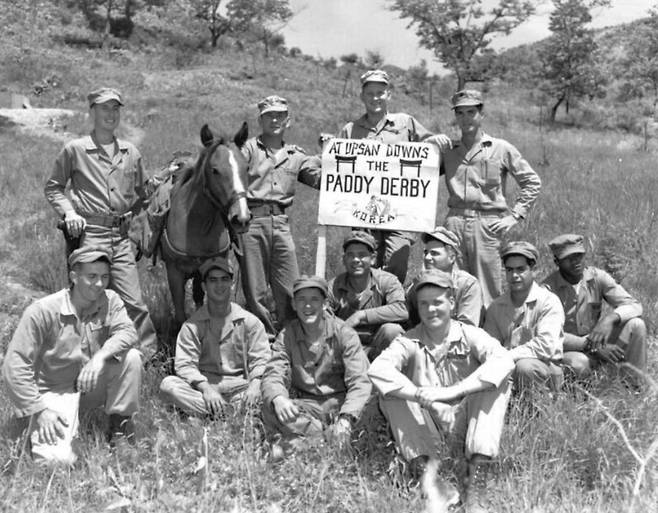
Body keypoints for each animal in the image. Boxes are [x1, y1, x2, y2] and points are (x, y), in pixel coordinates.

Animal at [160, 122, 250, 334]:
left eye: (247, 167)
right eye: (214, 170)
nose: (241, 218)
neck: (198, 225)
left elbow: (200, 302)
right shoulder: (174, 273)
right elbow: (180, 313)